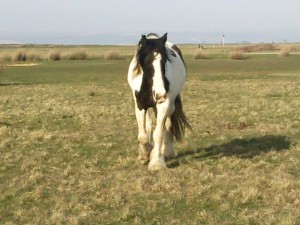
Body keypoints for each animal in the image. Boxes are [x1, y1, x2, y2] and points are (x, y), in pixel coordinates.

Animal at [127, 33, 190, 171]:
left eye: (164, 62)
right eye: (147, 62)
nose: (161, 95)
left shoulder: (163, 105)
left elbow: (159, 133)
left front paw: (156, 162)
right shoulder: (140, 106)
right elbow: (143, 136)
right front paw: (145, 155)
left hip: (170, 106)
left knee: (167, 126)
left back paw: (167, 151)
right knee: (149, 126)